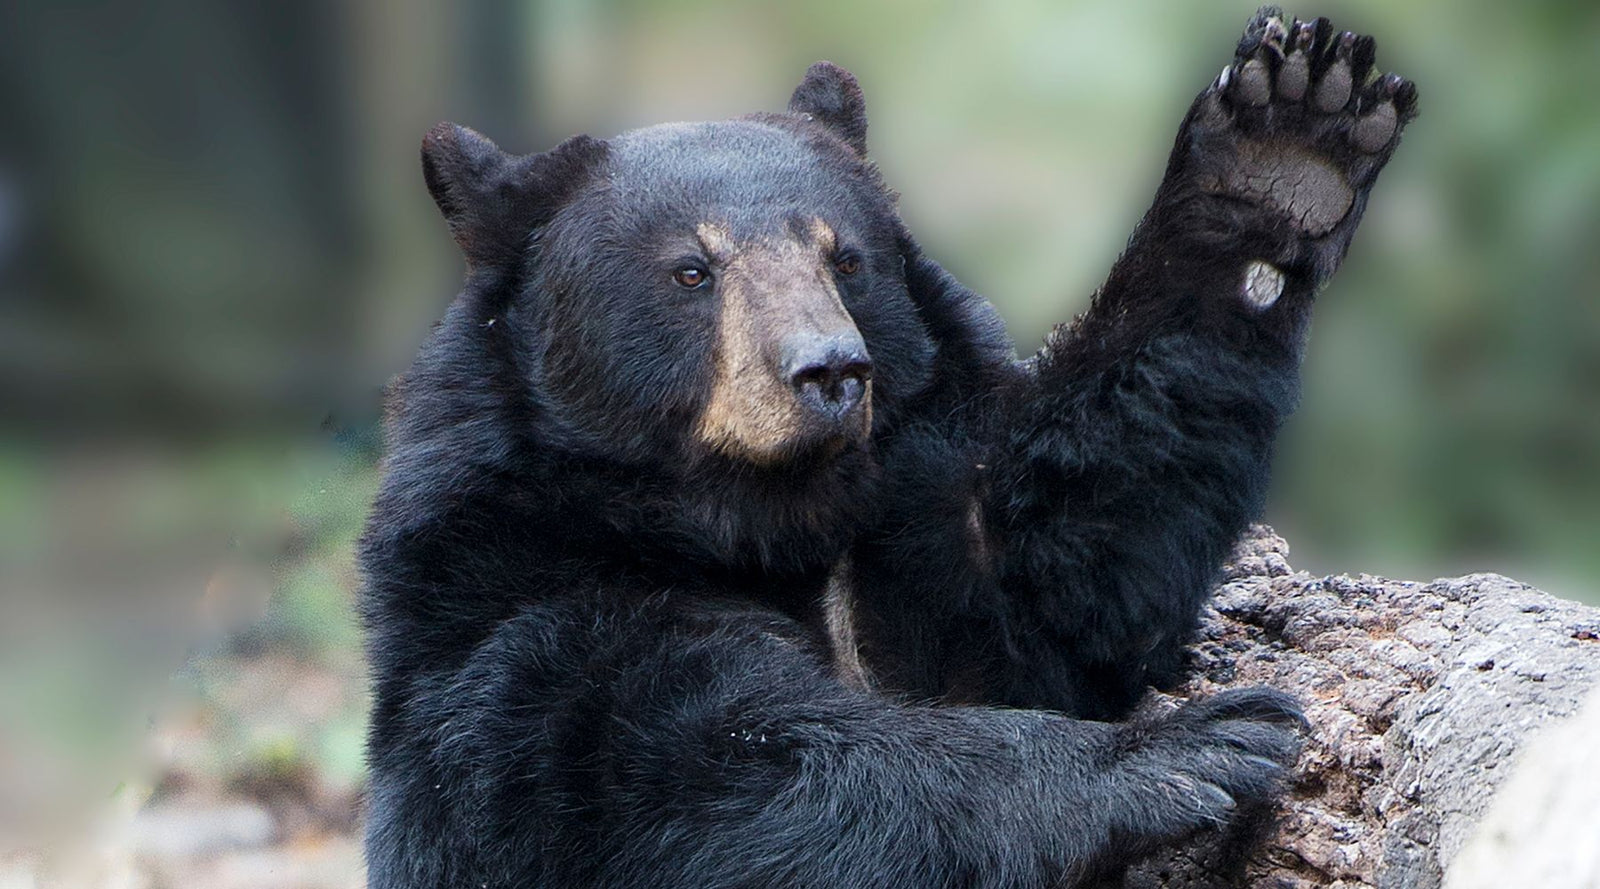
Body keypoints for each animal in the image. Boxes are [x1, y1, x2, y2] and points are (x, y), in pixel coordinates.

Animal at [359, 7, 1416, 887]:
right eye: (693, 269)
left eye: (845, 257)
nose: (830, 369)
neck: (766, 516)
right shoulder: (513, 619)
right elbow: (716, 779)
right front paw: (1193, 743)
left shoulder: (927, 502)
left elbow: (1080, 565)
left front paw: (1290, 142)